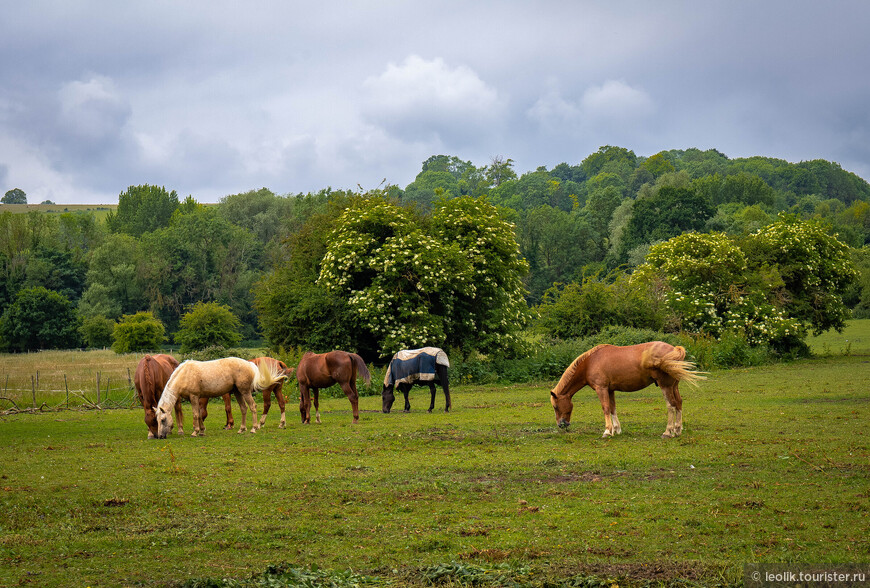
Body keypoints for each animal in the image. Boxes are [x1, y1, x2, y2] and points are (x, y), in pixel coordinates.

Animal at [156, 356, 286, 438]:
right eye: (156, 420)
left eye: (163, 420)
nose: (160, 436)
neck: (185, 374)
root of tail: (249, 364)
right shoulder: (195, 398)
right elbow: (200, 414)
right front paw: (201, 431)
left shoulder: (194, 397)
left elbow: (196, 414)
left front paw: (195, 432)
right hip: (238, 392)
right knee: (244, 408)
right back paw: (241, 429)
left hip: (245, 391)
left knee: (253, 406)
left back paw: (254, 428)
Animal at [552, 342, 708, 438]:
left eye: (555, 407)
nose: (561, 425)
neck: (590, 362)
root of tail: (674, 350)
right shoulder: (610, 390)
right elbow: (613, 408)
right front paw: (616, 429)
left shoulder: (601, 389)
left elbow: (606, 408)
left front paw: (607, 431)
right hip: (674, 386)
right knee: (679, 403)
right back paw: (677, 430)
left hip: (666, 386)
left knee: (671, 405)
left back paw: (668, 432)